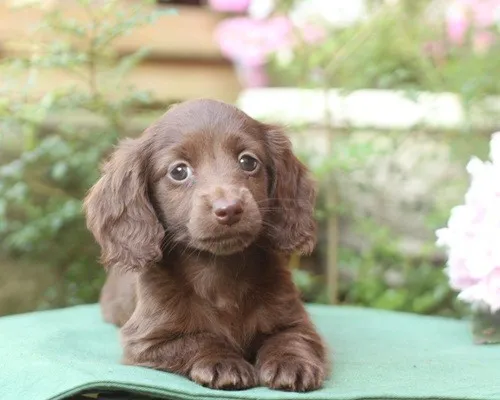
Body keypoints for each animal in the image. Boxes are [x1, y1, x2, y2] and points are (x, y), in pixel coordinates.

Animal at [84, 98, 330, 392]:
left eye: (248, 161)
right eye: (179, 171)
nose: (230, 209)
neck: (219, 272)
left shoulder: (296, 321)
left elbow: (291, 338)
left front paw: (291, 362)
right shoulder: (148, 340)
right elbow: (199, 339)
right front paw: (223, 362)